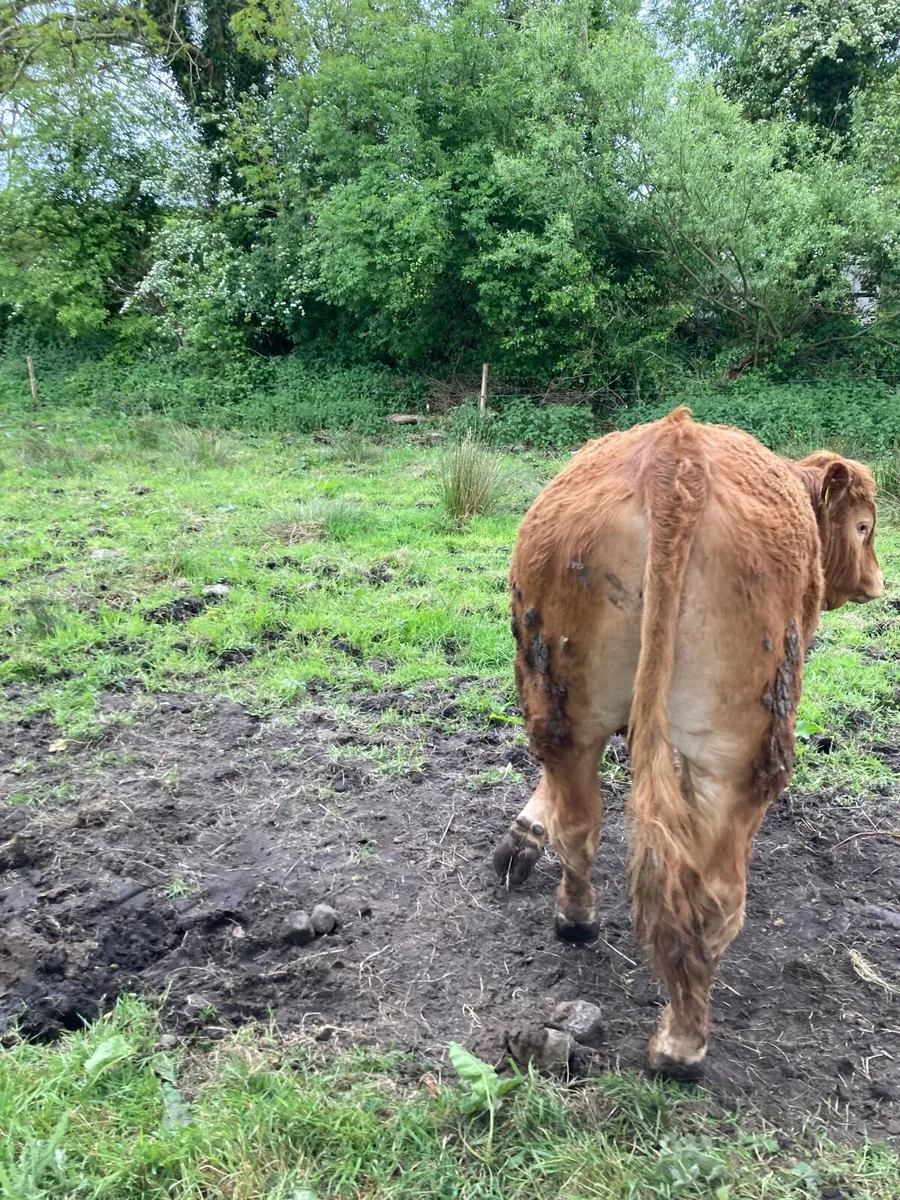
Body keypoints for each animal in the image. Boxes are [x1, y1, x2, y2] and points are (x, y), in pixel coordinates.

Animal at [495, 407, 884, 1079]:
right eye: (864, 526)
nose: (879, 584)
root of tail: (677, 452)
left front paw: (523, 836)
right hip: (743, 744)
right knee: (716, 893)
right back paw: (682, 1044)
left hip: (560, 698)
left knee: (581, 819)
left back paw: (576, 919)